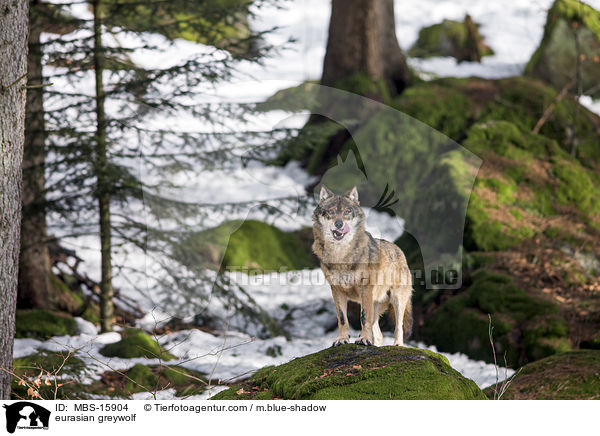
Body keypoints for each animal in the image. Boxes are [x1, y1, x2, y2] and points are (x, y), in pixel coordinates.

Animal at [314, 186, 412, 346]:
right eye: (331, 212)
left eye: (347, 212)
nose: (339, 224)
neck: (341, 255)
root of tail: (399, 249)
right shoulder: (336, 290)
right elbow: (342, 318)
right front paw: (342, 339)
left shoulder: (365, 288)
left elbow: (363, 318)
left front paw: (363, 338)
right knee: (379, 334)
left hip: (397, 300)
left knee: (399, 326)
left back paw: (397, 345)